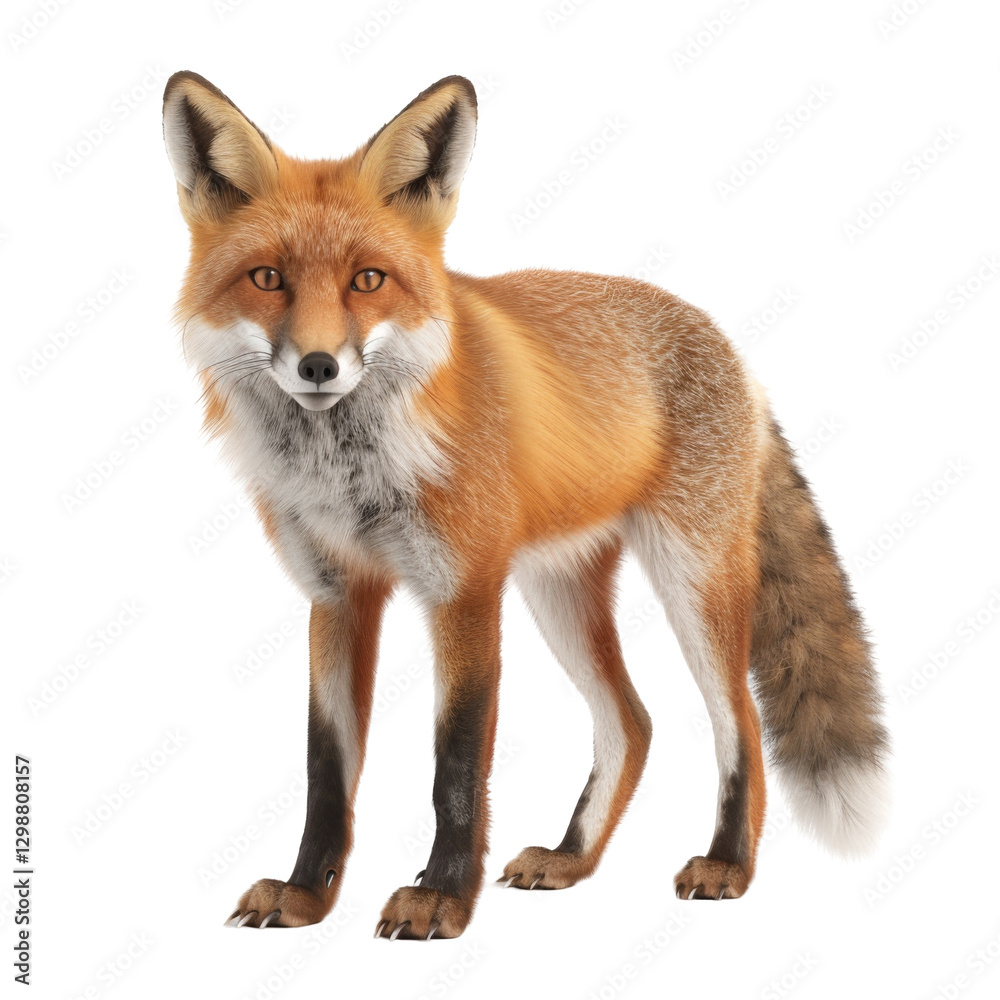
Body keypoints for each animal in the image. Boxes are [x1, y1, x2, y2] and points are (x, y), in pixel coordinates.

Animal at [162, 71, 890, 939]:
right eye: (268, 278)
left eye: (367, 280)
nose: (317, 366)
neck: (348, 469)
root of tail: (732, 351)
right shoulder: (336, 595)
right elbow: (325, 769)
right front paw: (307, 893)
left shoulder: (465, 590)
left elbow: (455, 762)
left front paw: (442, 898)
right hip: (559, 593)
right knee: (633, 722)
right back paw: (571, 858)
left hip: (693, 581)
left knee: (739, 720)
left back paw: (727, 866)